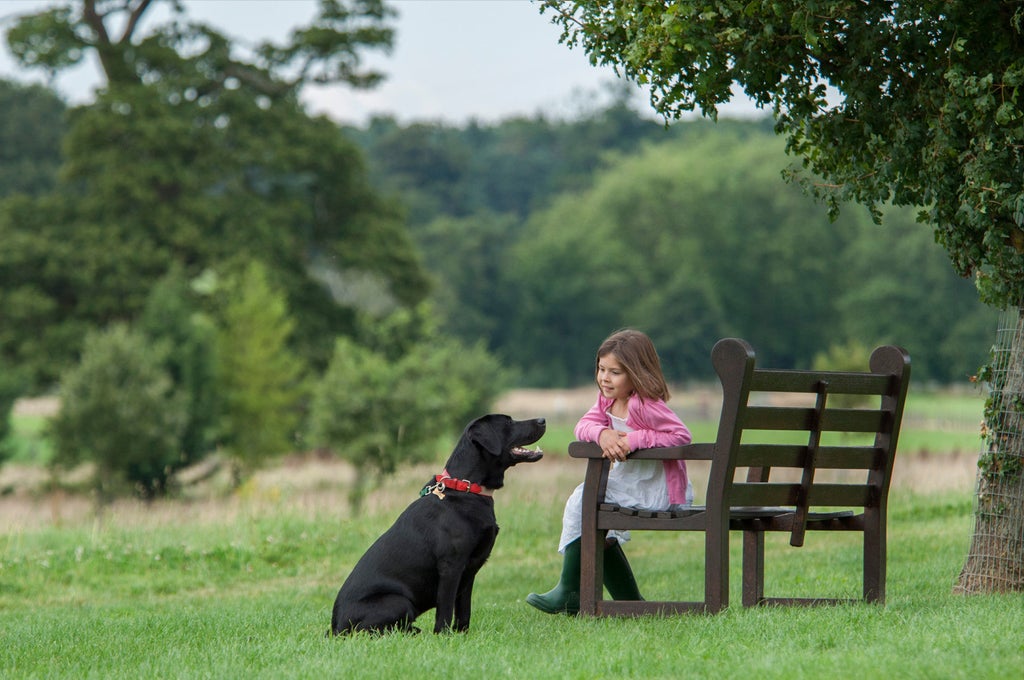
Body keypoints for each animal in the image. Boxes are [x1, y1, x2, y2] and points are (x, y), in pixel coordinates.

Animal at [331, 413, 548, 639]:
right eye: (508, 422)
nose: (542, 420)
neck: (466, 488)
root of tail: (336, 628)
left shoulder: (469, 571)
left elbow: (464, 610)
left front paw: (462, 635)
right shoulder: (451, 566)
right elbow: (445, 608)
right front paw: (443, 636)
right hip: (398, 601)